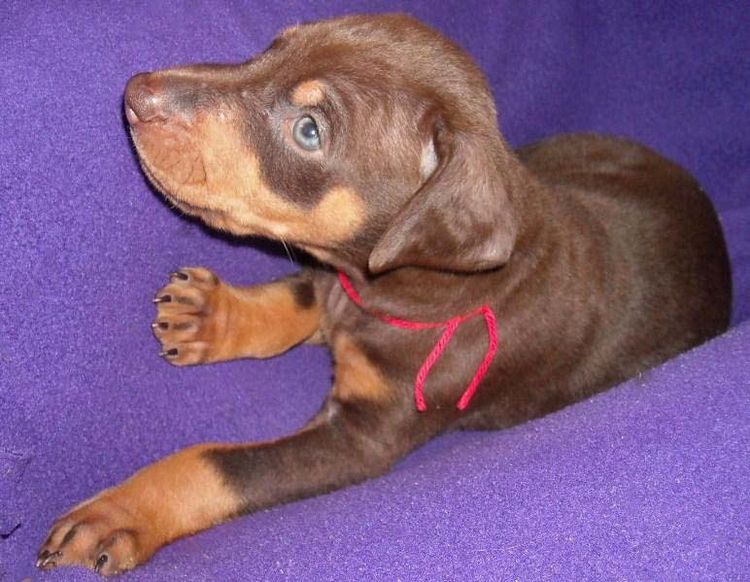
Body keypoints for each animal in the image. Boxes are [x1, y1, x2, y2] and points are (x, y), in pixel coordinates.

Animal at [38, 12, 732, 576]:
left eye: (308, 130)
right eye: (272, 47)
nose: (135, 93)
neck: (415, 286)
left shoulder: (363, 438)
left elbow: (219, 464)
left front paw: (123, 512)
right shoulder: (343, 277)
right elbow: (302, 297)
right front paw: (211, 317)